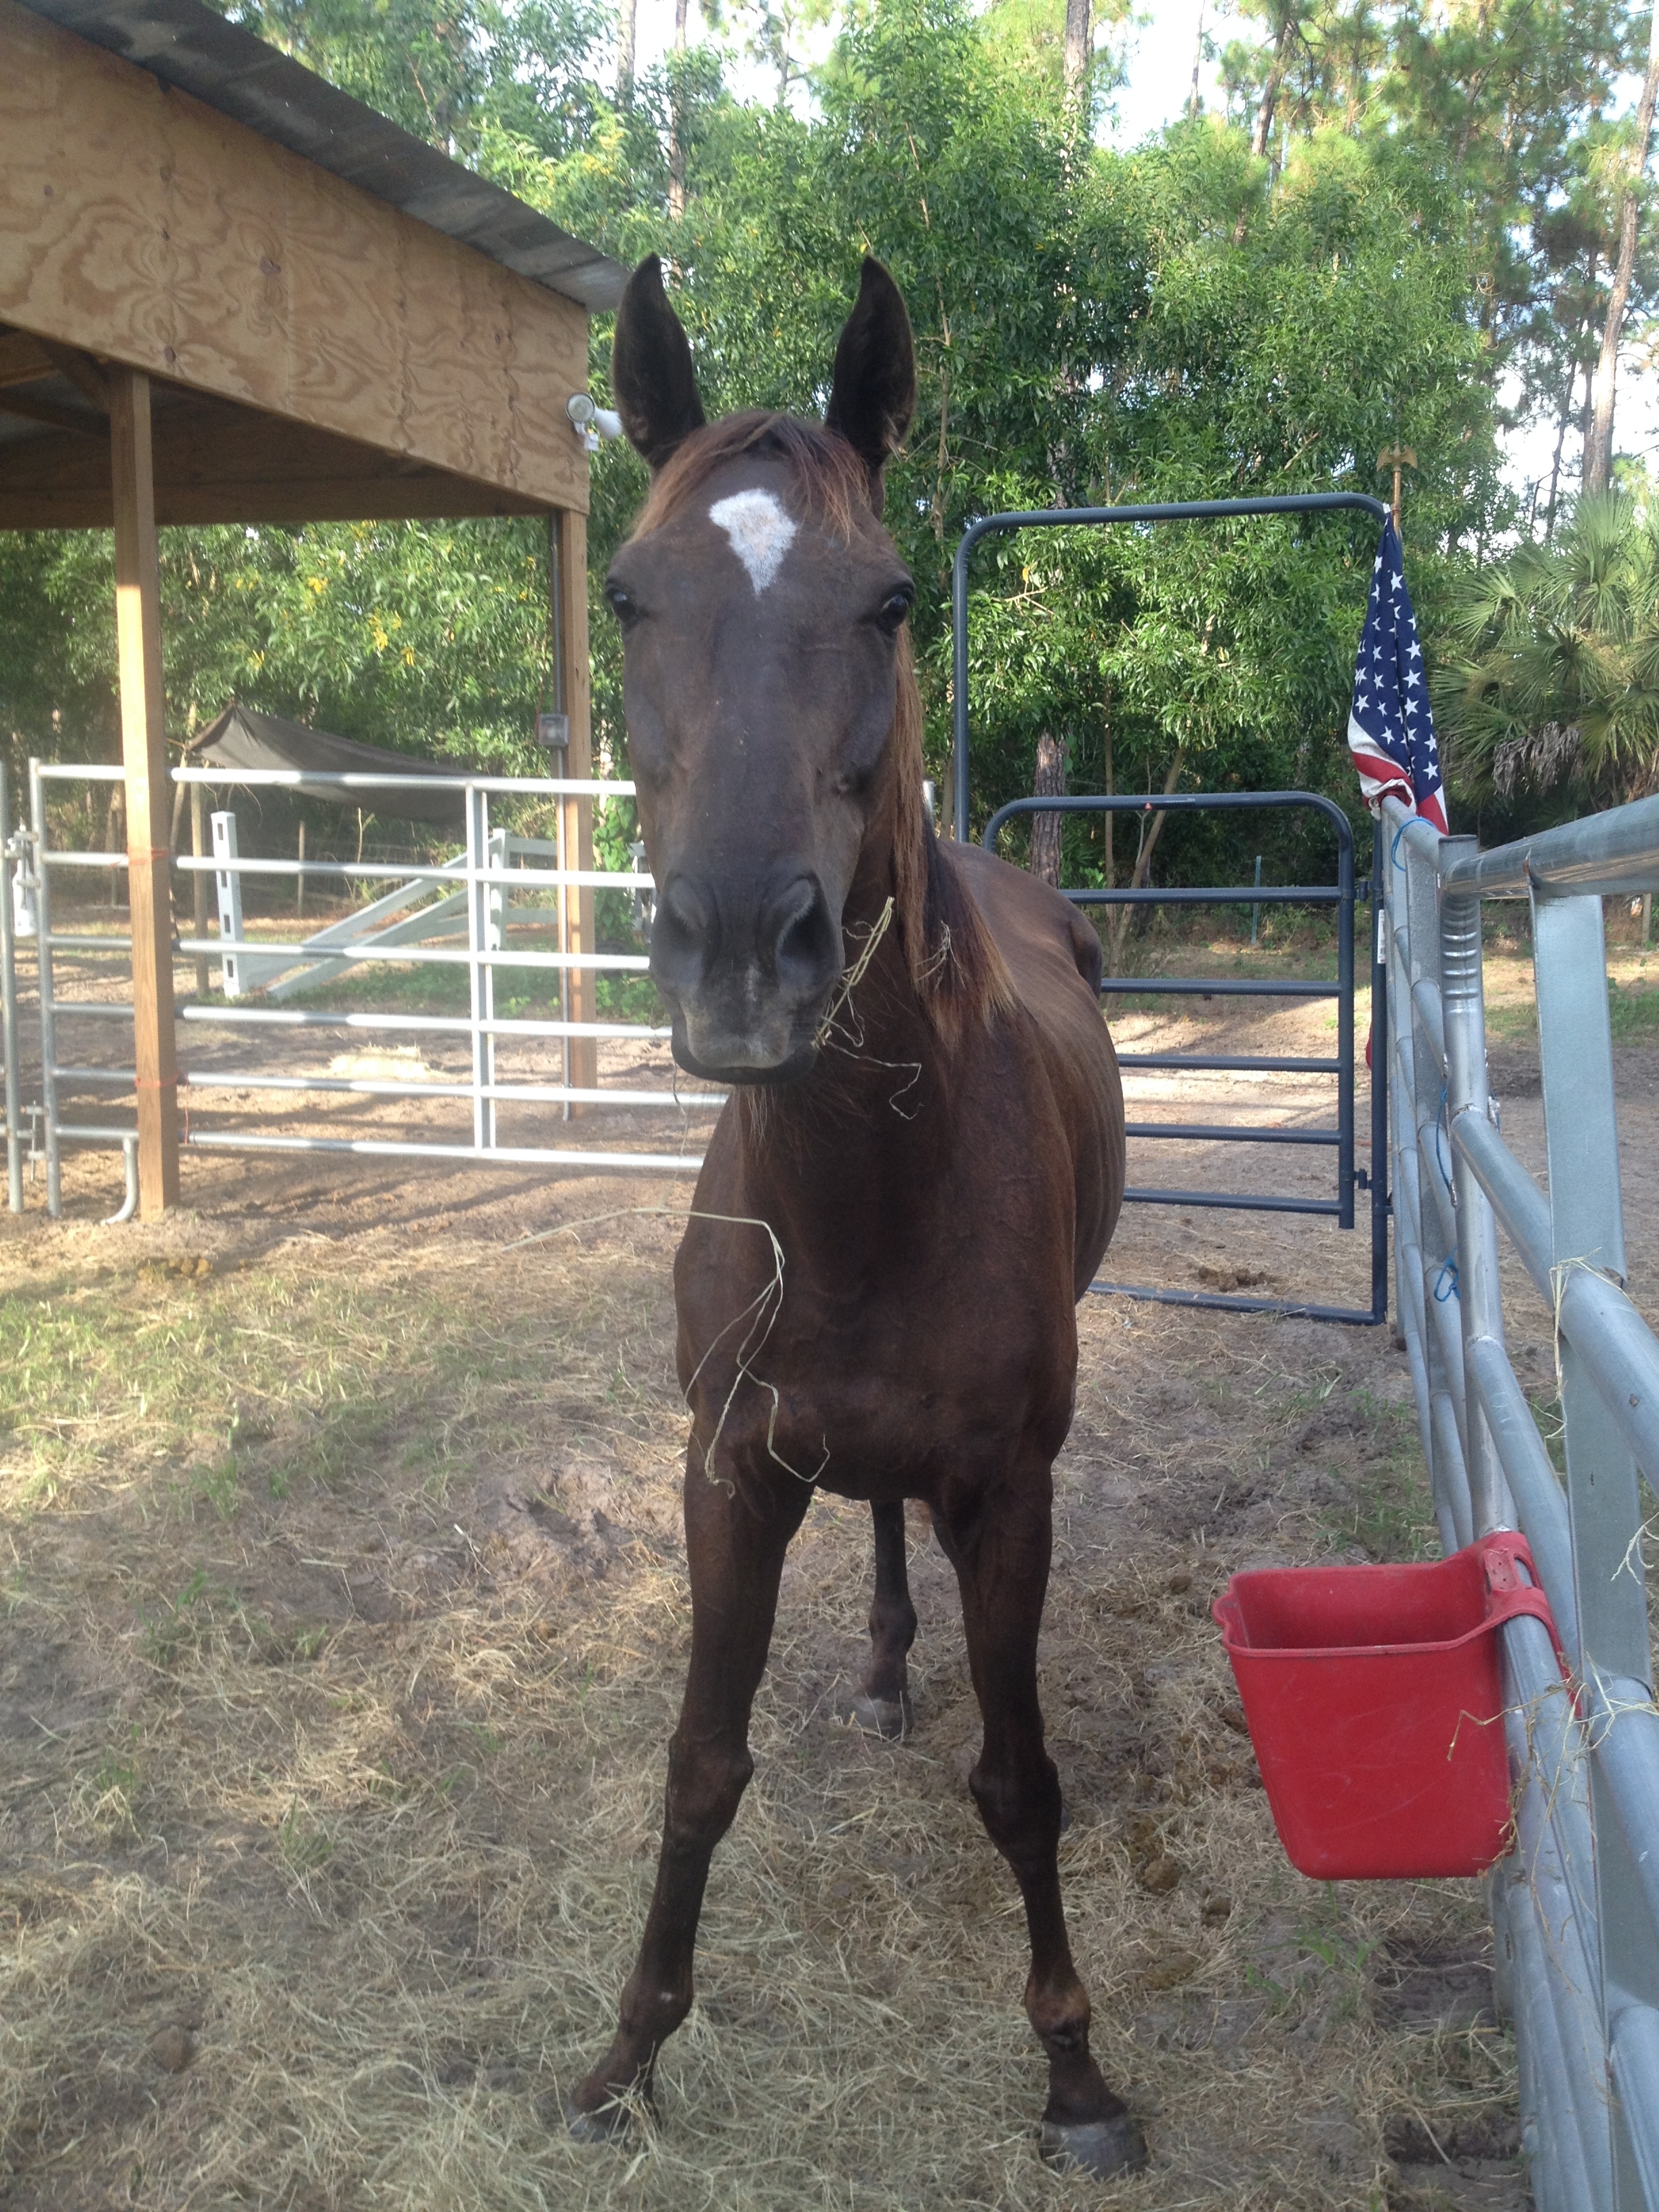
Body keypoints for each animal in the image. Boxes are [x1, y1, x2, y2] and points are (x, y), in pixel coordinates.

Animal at [567, 252, 1140, 2181]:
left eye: (889, 601)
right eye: (627, 595)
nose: (746, 945)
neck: (860, 1202)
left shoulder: (1008, 1490)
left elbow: (1022, 1783)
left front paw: (1075, 2072)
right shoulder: (727, 1471)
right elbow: (695, 1766)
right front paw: (624, 2054)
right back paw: (889, 1666)